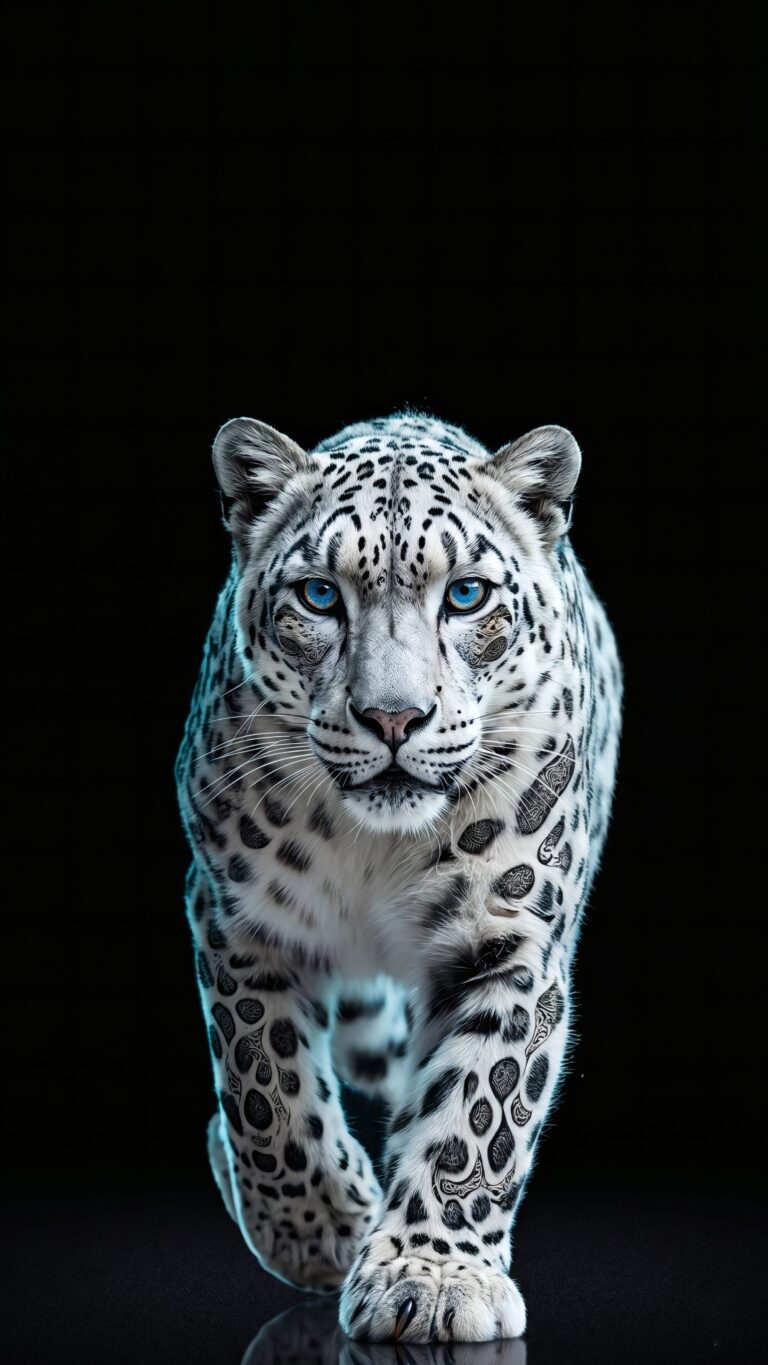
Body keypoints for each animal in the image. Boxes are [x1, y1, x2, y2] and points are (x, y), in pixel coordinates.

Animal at [175, 410, 622, 1344]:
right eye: (319, 596)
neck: (377, 850)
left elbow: (477, 1112)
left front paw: (434, 1276)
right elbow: (264, 1089)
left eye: (466, 595)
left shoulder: (510, 939)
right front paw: (318, 1232)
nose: (392, 717)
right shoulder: (239, 918)